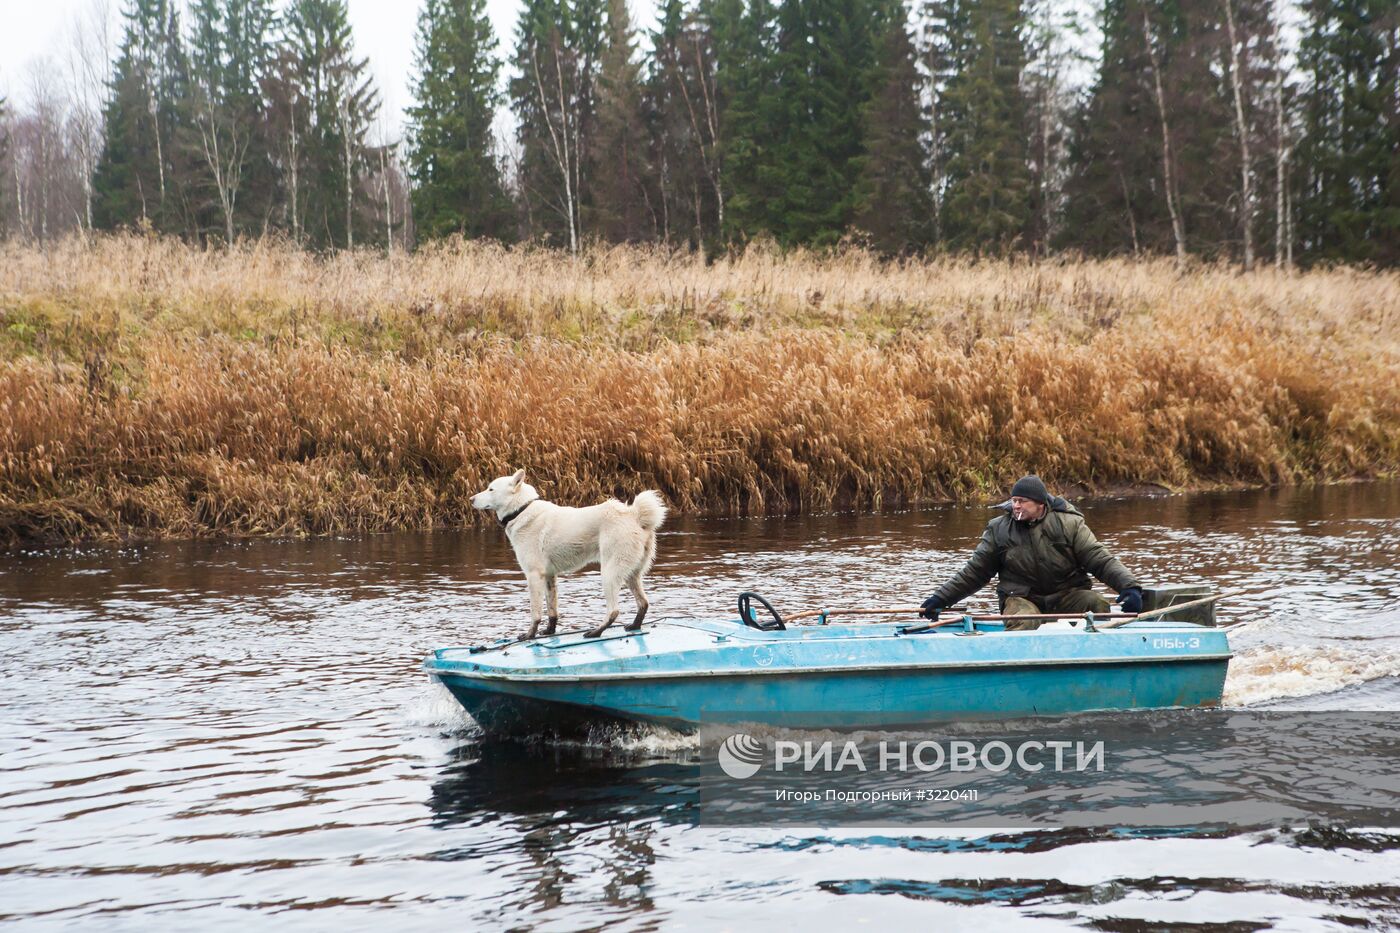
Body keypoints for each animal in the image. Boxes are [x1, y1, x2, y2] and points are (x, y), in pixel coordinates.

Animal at [470, 467, 666, 636]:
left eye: (490, 489)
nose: (471, 499)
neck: (520, 509)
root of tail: (635, 515)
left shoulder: (533, 575)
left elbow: (535, 613)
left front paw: (529, 635)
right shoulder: (549, 576)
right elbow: (552, 610)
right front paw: (549, 631)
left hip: (609, 573)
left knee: (614, 611)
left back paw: (596, 632)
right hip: (632, 573)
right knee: (643, 603)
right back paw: (634, 626)